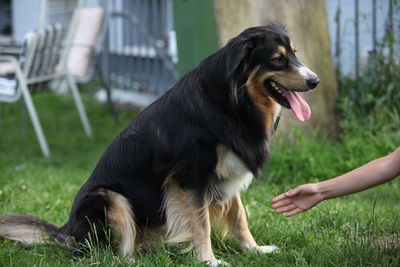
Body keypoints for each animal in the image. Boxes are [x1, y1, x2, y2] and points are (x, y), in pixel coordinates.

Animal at [0, 24, 318, 266]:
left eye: (294, 54)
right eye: (277, 59)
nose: (314, 80)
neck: (230, 100)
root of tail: (65, 232)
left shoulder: (227, 172)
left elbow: (239, 216)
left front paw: (255, 249)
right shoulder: (189, 177)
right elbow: (201, 223)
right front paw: (209, 261)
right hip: (109, 198)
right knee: (106, 253)